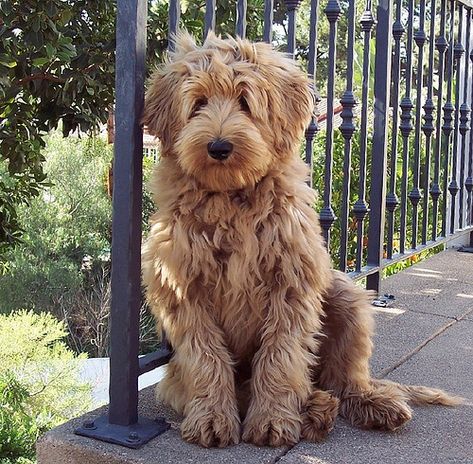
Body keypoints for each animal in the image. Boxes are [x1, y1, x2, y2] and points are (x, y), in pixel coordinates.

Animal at [140, 31, 458, 446]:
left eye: (245, 101)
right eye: (198, 103)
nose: (219, 147)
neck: (231, 199)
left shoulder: (292, 281)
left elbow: (281, 353)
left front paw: (273, 419)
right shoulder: (182, 288)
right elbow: (205, 355)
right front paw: (211, 418)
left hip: (346, 298)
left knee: (343, 379)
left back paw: (362, 404)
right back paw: (314, 410)